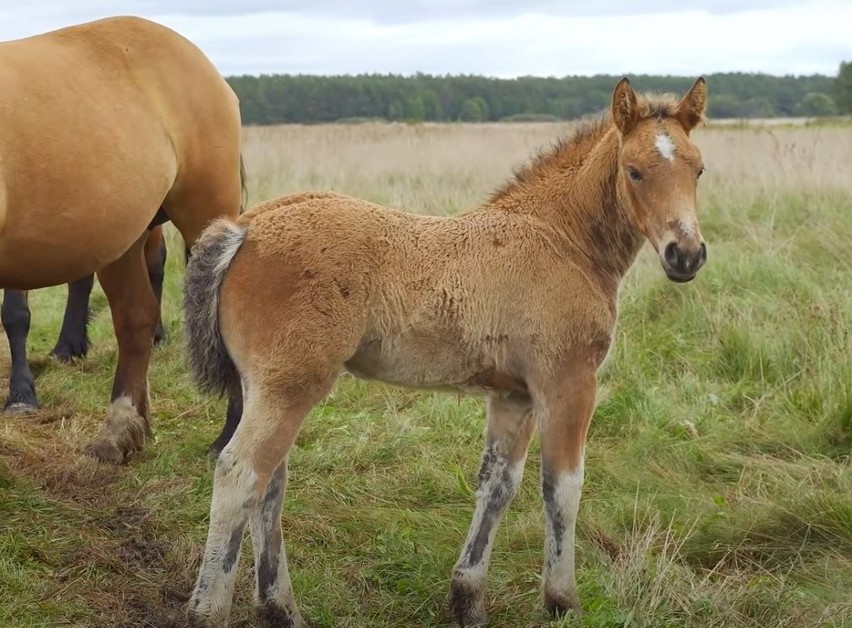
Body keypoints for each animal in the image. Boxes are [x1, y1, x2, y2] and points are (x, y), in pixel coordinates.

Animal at [183, 77, 708, 628]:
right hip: (289, 385)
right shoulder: (568, 382)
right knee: (240, 474)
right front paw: (562, 601)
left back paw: (280, 608)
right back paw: (209, 611)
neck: (563, 240)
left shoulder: (515, 395)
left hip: (262, 386)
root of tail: (245, 227)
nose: (686, 255)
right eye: (634, 170)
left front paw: (467, 598)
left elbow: (498, 485)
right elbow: (563, 488)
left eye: (698, 169)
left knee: (270, 483)